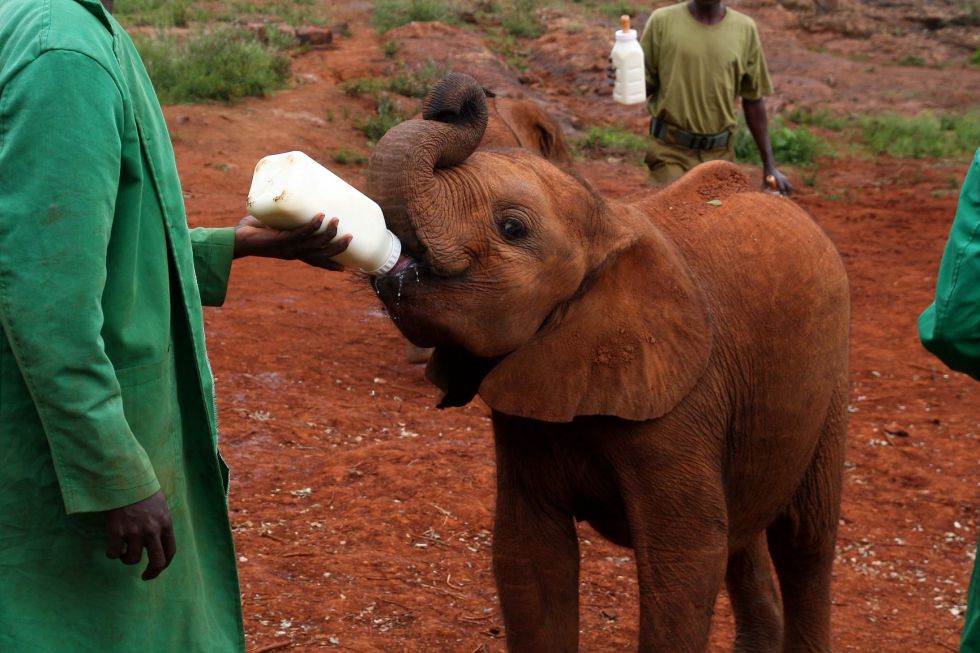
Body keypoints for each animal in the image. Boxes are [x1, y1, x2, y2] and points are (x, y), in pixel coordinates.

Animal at [368, 72, 848, 652]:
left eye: (512, 228)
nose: (461, 95)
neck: (607, 226)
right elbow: (528, 556)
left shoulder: (682, 405)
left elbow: (686, 564)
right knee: (746, 526)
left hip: (833, 375)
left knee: (805, 537)